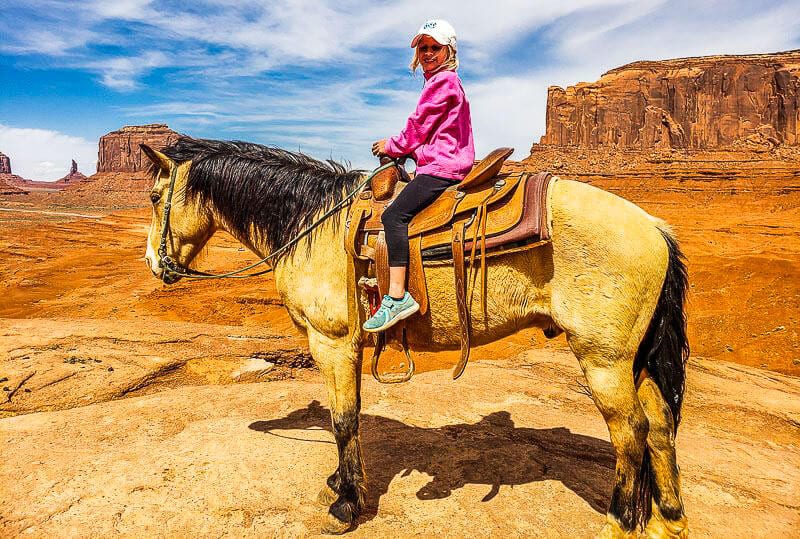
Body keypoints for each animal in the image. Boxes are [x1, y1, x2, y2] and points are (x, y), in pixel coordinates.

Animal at [141, 137, 692, 536]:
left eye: (153, 197)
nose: (153, 264)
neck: (312, 225)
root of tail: (655, 227)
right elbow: (348, 414)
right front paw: (342, 484)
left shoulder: (332, 342)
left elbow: (343, 419)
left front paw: (346, 504)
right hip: (634, 358)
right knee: (661, 425)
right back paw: (669, 520)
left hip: (603, 358)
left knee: (632, 433)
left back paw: (620, 523)